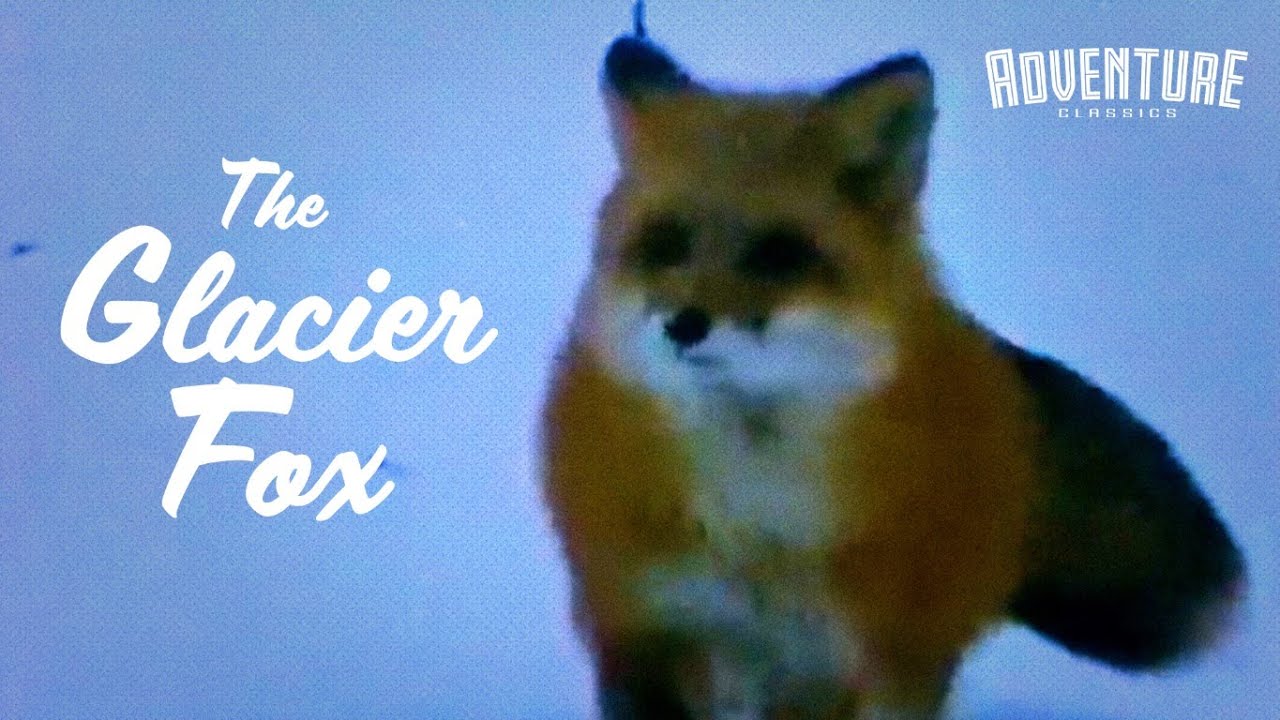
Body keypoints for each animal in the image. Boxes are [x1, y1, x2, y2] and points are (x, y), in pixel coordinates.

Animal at [542, 30, 1245, 720]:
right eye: (666, 243)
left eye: (779, 253)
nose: (684, 325)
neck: (759, 533)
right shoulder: (648, 634)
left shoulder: (879, 657)